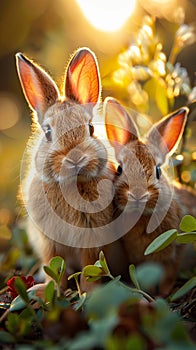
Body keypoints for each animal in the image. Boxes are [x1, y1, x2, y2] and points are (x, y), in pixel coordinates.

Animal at [15, 47, 124, 292]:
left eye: (90, 128)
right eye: (48, 132)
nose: (75, 158)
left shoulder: (92, 238)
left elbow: (89, 267)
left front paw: (89, 293)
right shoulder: (49, 241)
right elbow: (54, 266)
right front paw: (46, 291)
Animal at [105, 98, 196, 296]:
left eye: (158, 170)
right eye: (119, 169)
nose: (138, 195)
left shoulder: (176, 252)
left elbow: (169, 275)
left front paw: (163, 293)